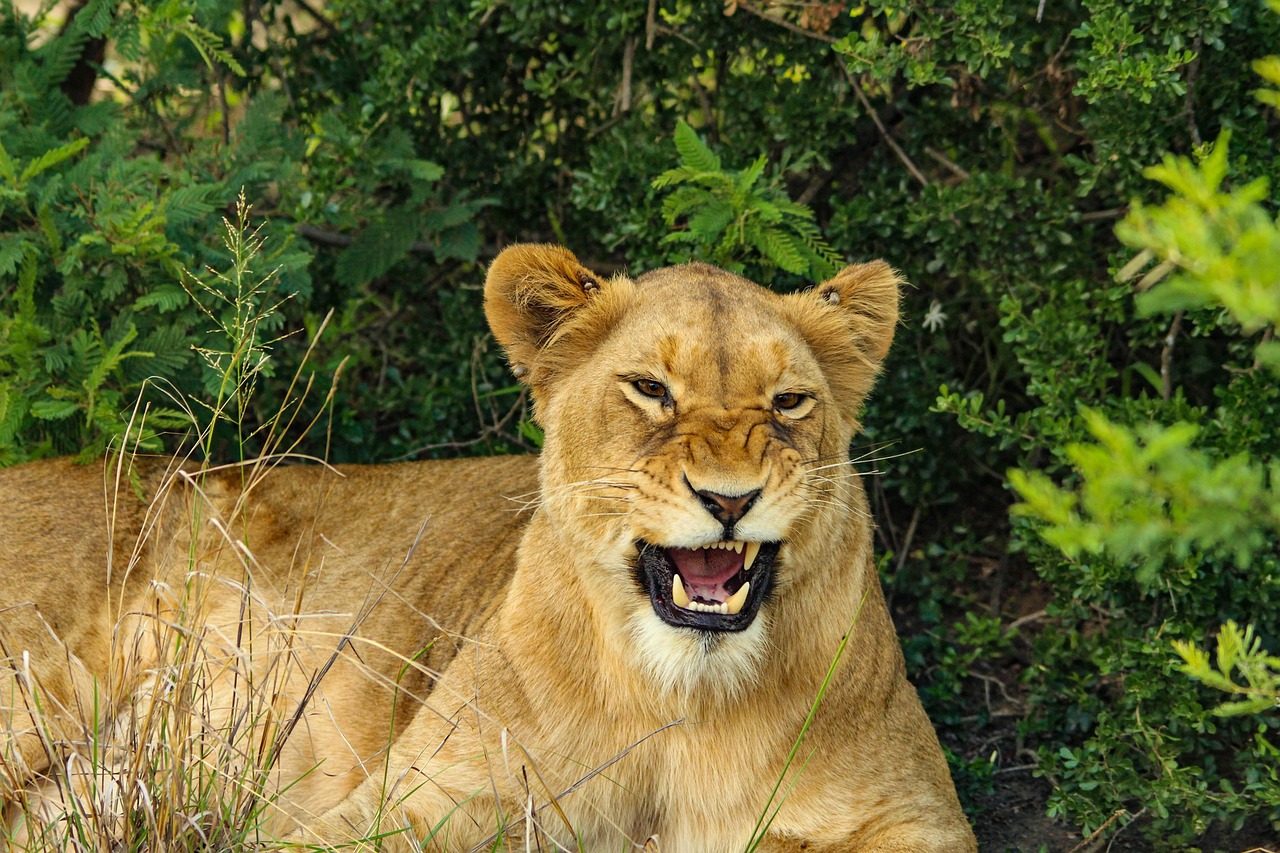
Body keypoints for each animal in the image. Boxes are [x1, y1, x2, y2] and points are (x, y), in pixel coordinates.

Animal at [1, 244, 976, 851]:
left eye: (789, 402)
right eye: (650, 389)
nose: (730, 499)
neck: (682, 701)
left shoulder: (916, 817)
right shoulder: (406, 804)